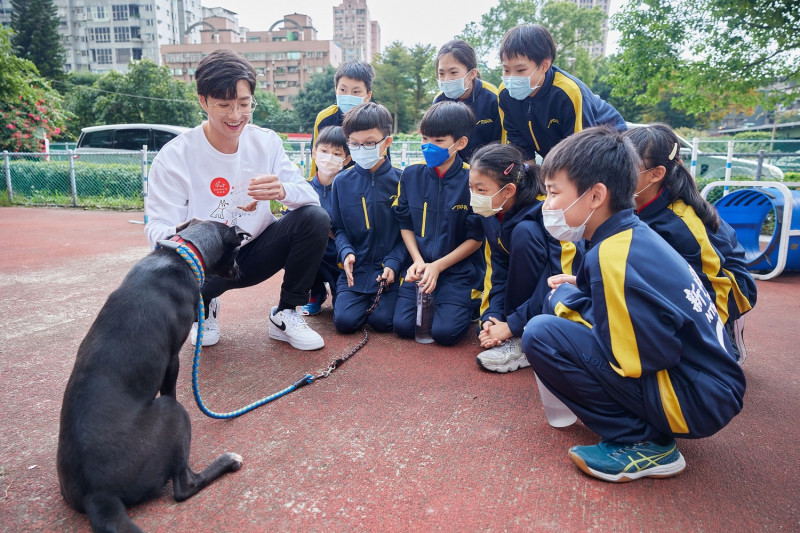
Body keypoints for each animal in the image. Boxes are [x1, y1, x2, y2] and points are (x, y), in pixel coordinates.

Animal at [57, 218, 247, 528]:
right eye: (236, 253)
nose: (238, 270)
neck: (179, 254)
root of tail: (98, 496)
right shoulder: (172, 359)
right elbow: (169, 385)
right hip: (173, 412)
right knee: (184, 487)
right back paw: (228, 461)